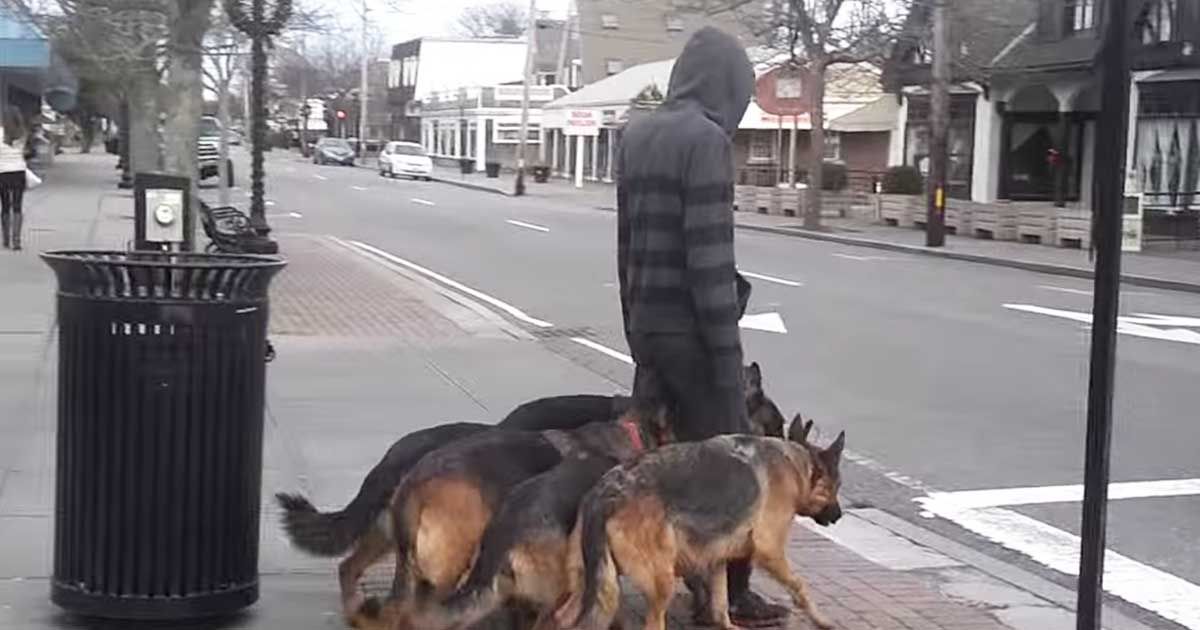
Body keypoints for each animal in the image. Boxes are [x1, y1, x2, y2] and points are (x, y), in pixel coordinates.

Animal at [274, 360, 777, 614]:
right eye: (770, 423)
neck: (631, 433)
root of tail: (409, 463)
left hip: (394, 540)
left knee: (353, 571)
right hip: (447, 560)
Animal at [552, 415, 844, 628]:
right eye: (837, 486)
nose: (839, 515)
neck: (797, 462)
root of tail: (606, 494)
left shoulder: (717, 560)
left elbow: (720, 606)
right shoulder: (770, 551)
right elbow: (800, 587)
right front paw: (822, 620)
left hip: (591, 584)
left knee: (562, 617)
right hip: (661, 582)